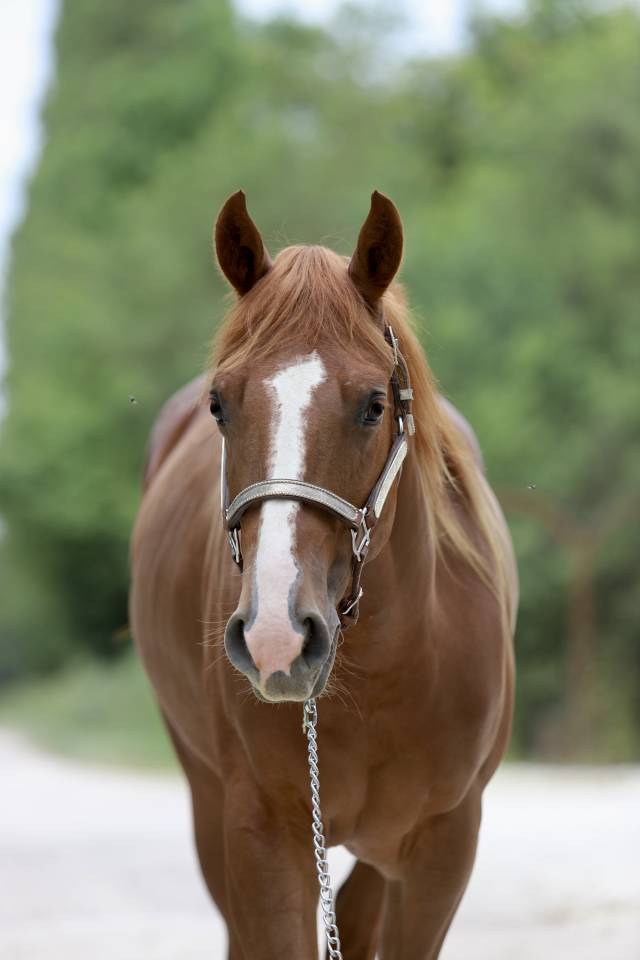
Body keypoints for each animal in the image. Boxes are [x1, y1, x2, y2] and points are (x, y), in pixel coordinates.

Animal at [130, 190, 517, 959]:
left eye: (373, 404)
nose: (277, 636)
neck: (388, 670)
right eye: (220, 404)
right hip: (208, 801)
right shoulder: (262, 836)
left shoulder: (443, 848)